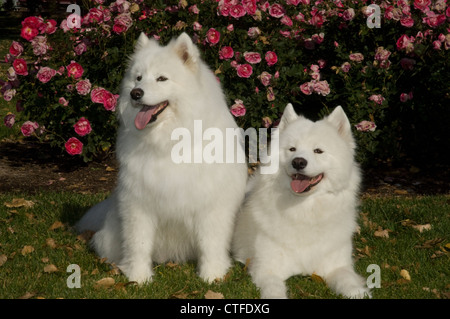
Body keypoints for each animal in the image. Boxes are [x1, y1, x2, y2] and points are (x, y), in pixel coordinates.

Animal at [76, 32, 246, 284]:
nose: (135, 93)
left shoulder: (211, 206)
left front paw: (212, 275)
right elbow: (138, 244)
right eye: (138, 78)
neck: (170, 141)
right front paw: (138, 277)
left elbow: (211, 244)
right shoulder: (139, 203)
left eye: (162, 79)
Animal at [232, 105, 370, 300]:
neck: (305, 210)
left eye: (318, 151)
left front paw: (358, 292)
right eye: (292, 149)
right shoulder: (267, 269)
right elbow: (274, 289)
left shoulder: (337, 266)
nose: (298, 162)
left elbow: (348, 281)